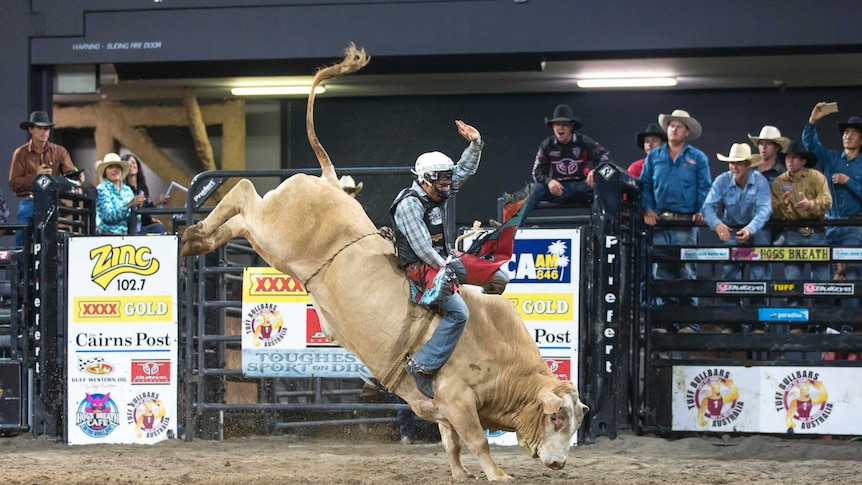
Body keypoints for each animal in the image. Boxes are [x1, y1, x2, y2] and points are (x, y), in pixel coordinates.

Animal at [181, 42, 588, 480]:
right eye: (556, 418)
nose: (560, 463)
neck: (502, 356)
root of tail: (329, 182)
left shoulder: (443, 410)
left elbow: (451, 444)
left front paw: (460, 475)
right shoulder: (457, 398)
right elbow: (477, 440)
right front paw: (498, 475)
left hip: (269, 239)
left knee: (239, 217)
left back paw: (197, 239)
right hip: (275, 232)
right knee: (242, 190)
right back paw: (193, 233)